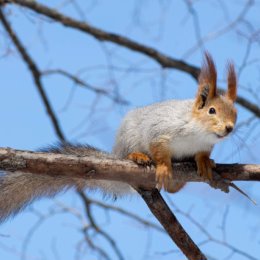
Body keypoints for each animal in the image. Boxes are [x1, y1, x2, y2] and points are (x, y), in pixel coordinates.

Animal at [0, 52, 237, 221]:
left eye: (235, 112)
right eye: (212, 111)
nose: (230, 128)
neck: (199, 134)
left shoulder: (204, 145)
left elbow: (202, 154)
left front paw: (205, 161)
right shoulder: (162, 130)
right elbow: (158, 147)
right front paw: (162, 167)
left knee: (173, 189)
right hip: (129, 137)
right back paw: (138, 157)